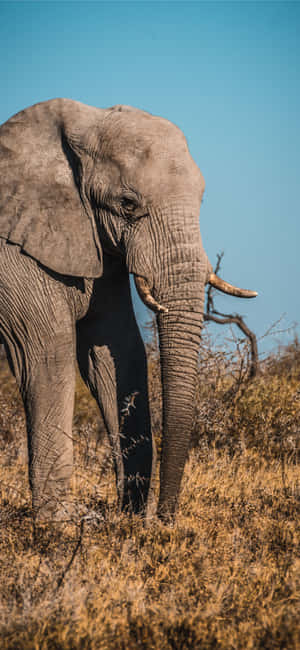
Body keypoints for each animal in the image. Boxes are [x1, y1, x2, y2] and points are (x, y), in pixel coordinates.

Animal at [0, 97, 256, 520]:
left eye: (202, 200)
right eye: (127, 205)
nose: (165, 519)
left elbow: (117, 348)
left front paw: (129, 518)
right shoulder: (12, 253)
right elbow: (47, 352)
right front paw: (58, 522)